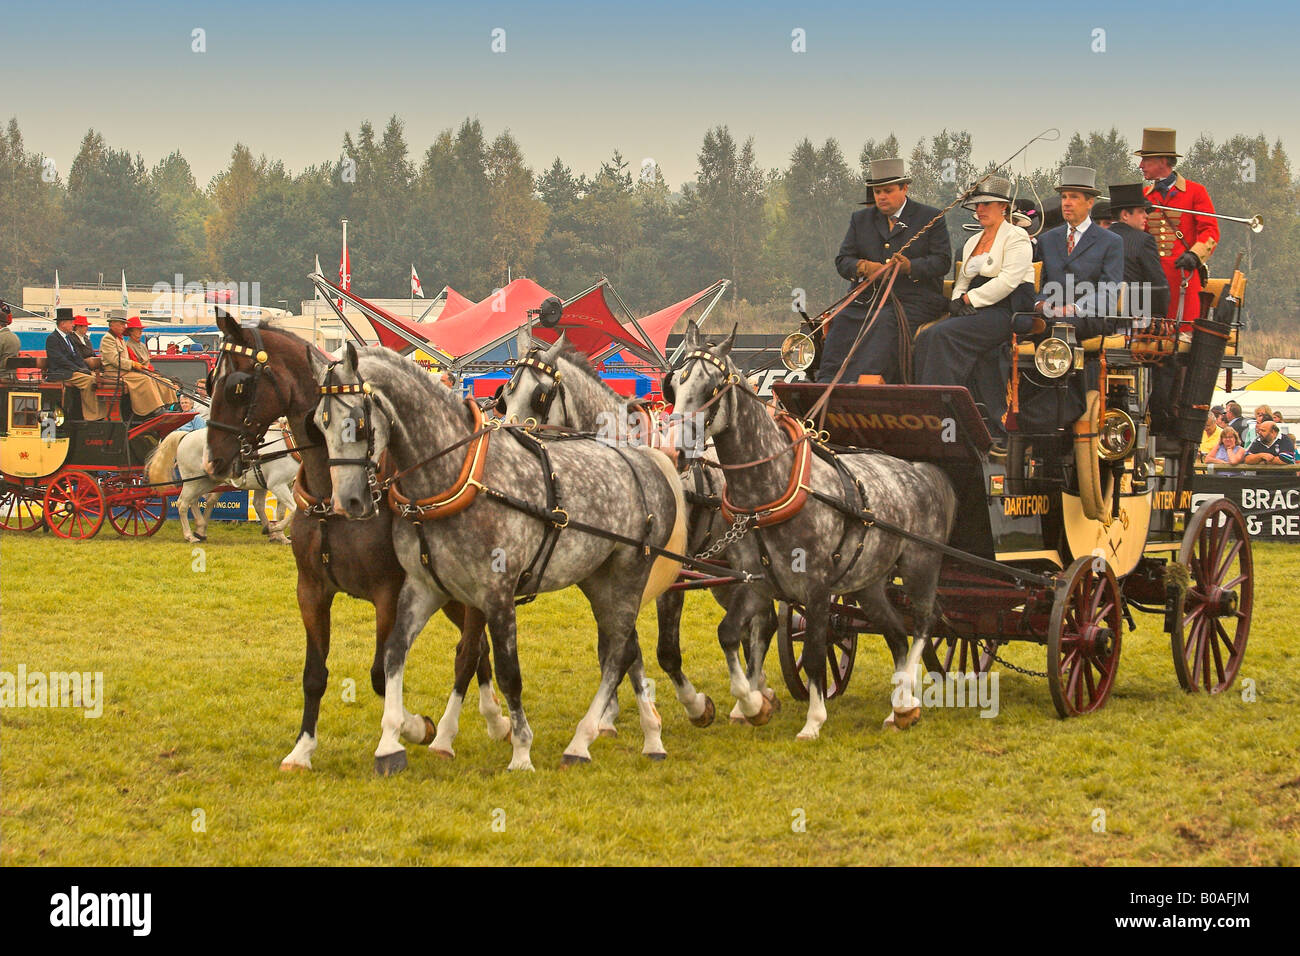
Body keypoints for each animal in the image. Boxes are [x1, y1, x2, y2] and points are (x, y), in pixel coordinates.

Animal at [147, 424, 297, 541]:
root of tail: (186, 435)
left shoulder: (281, 485)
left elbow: (277, 511)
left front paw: (278, 535)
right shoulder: (276, 485)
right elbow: (294, 509)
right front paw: (274, 529)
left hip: (205, 481)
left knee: (194, 500)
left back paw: (200, 528)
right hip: (192, 481)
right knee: (182, 503)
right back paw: (190, 536)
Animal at [205, 314, 504, 770]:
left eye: (238, 386)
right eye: (210, 381)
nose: (213, 461)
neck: (333, 494)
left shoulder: (388, 593)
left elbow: (382, 673)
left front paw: (412, 728)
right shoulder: (311, 590)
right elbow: (314, 675)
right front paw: (302, 749)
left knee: (470, 650)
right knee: (481, 650)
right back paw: (495, 721)